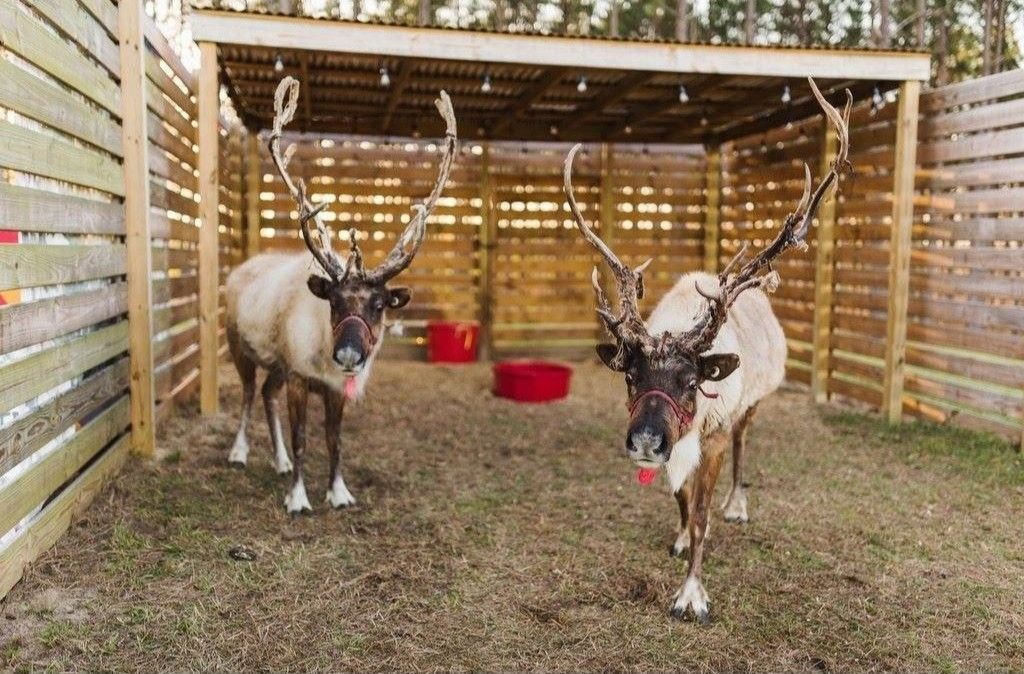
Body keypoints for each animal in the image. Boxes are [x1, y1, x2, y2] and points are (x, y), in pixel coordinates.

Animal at [224, 76, 457, 515]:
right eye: (333, 301)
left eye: (380, 304)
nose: (349, 354)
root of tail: (238, 270)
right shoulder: (299, 377)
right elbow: (302, 439)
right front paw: (298, 498)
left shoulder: (333, 388)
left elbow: (335, 440)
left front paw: (339, 492)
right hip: (238, 348)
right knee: (246, 395)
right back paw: (239, 453)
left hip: (276, 365)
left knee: (264, 394)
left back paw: (279, 460)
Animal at [563, 78, 850, 623]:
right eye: (630, 376)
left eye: (693, 380)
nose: (645, 440)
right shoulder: (676, 445)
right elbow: (679, 498)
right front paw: (677, 539)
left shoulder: (711, 437)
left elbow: (699, 512)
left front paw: (691, 593)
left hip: (751, 406)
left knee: (743, 446)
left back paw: (735, 506)